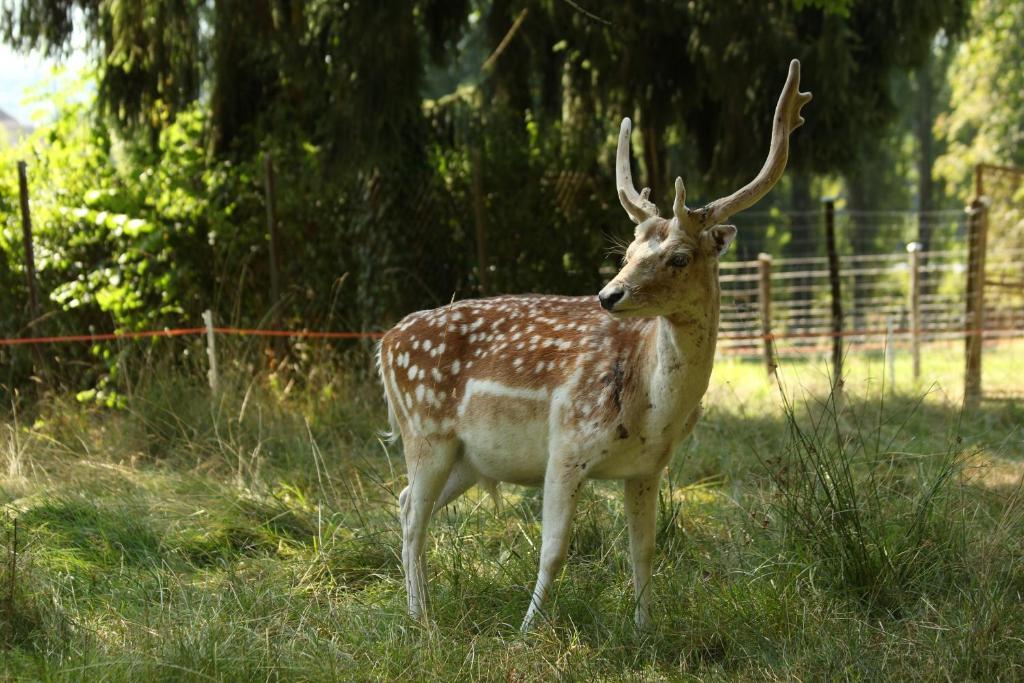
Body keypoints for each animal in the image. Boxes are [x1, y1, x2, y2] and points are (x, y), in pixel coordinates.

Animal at [376, 61, 806, 634]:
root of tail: (384, 344)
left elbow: (643, 551)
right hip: (424, 432)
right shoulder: (567, 444)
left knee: (405, 502)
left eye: (679, 257)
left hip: (468, 458)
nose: (608, 295)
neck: (654, 408)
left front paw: (645, 629)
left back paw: (418, 611)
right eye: (627, 252)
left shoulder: (648, 468)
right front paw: (526, 631)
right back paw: (421, 618)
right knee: (411, 513)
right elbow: (553, 551)